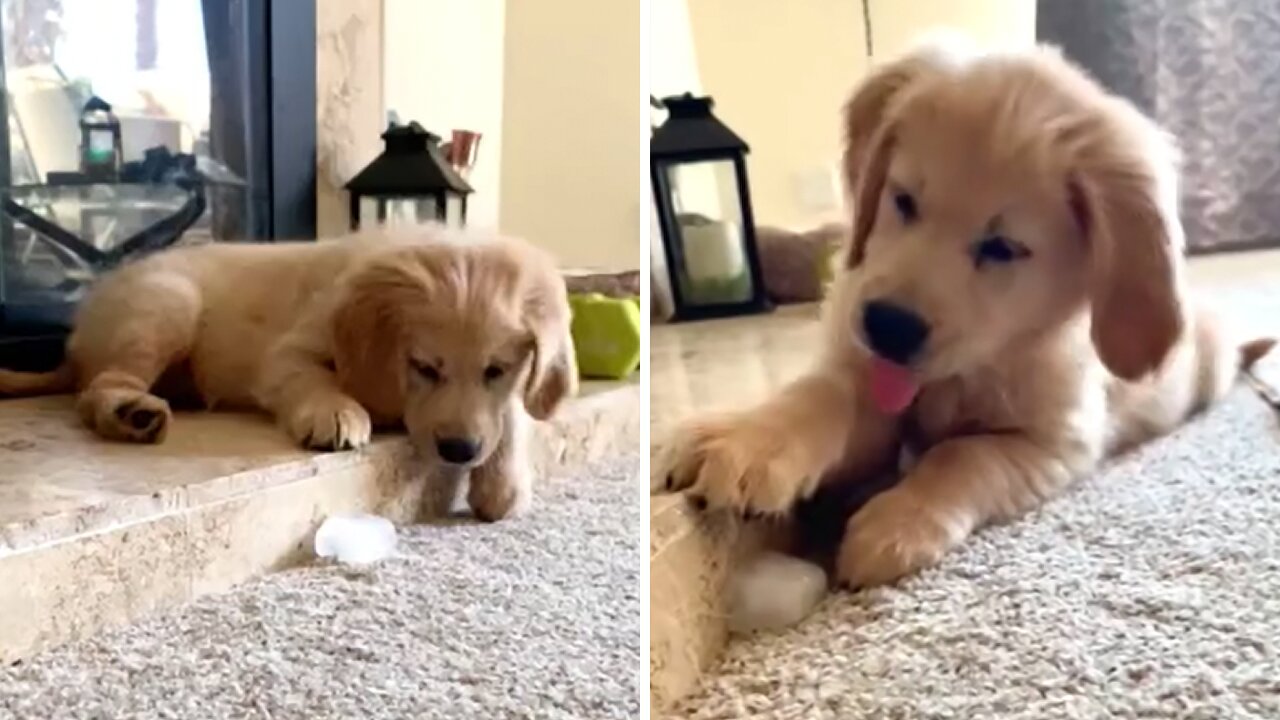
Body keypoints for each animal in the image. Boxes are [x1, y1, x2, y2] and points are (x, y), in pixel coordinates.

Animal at [0, 226, 578, 517]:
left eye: (497, 370)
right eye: (423, 367)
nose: (459, 450)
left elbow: (513, 417)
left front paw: (502, 485)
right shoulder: (291, 351)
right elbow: (311, 379)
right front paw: (337, 414)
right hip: (166, 302)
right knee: (97, 387)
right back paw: (131, 413)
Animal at [660, 39, 1269, 586]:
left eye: (1002, 247)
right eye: (904, 201)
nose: (888, 326)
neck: (966, 371)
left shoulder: (1054, 442)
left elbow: (964, 456)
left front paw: (897, 525)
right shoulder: (865, 372)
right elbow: (822, 394)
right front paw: (748, 437)